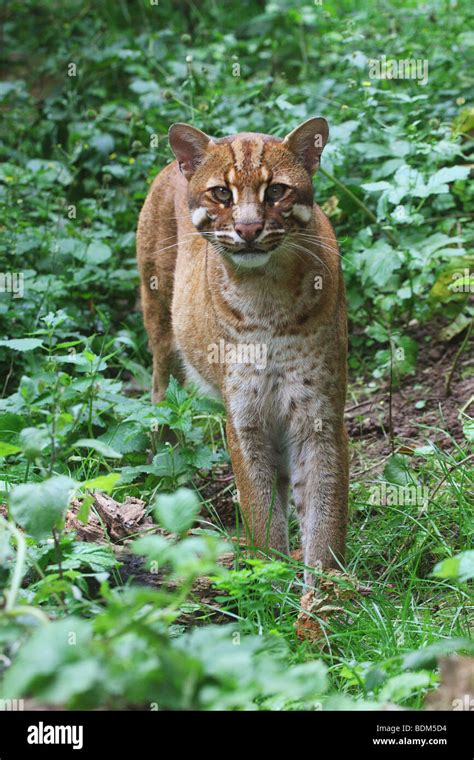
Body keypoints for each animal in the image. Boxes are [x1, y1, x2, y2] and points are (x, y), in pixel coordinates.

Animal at [137, 119, 348, 580]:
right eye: (221, 193)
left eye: (276, 191)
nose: (249, 230)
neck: (265, 292)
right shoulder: (246, 415)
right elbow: (260, 507)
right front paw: (269, 577)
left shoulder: (318, 411)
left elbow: (324, 508)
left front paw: (326, 587)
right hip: (159, 325)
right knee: (160, 393)